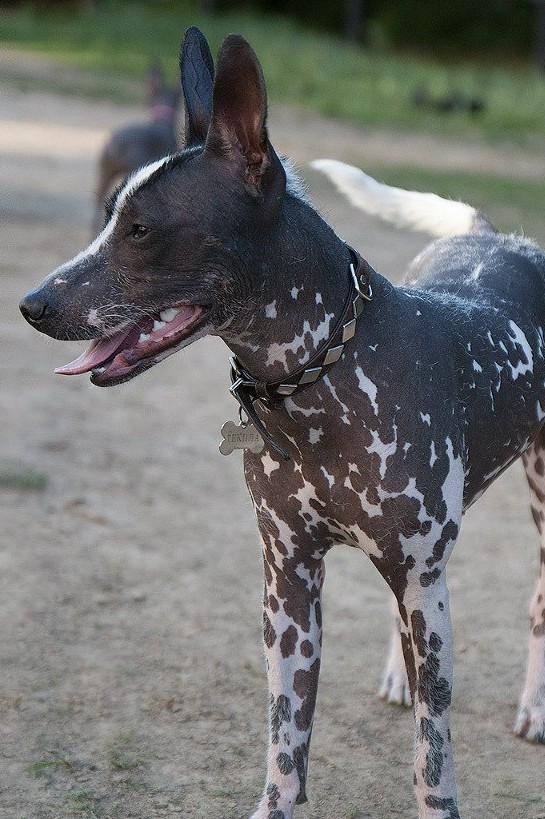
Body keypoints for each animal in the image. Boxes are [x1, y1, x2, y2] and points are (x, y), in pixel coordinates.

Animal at [18, 25, 544, 819]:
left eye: (140, 228)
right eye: (109, 213)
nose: (31, 304)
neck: (319, 375)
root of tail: (497, 236)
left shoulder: (411, 579)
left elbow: (433, 753)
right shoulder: (288, 583)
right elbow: (286, 739)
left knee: (532, 601)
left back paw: (532, 707)